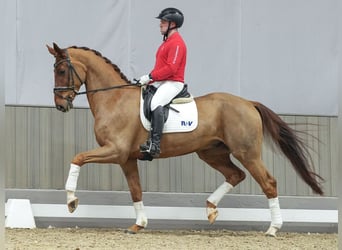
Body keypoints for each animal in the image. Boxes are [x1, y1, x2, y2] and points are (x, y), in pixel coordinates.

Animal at [46, 43, 322, 236]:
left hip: (247, 152)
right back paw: (211, 209)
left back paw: (273, 229)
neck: (114, 100)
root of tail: (248, 103)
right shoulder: (126, 159)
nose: (60, 105)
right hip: (212, 152)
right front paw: (139, 224)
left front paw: (71, 201)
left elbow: (77, 158)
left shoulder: (114, 150)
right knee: (236, 175)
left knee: (268, 183)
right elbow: (135, 190)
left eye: (61, 70)